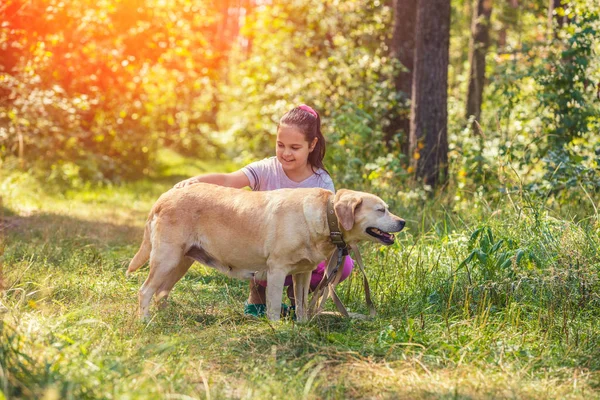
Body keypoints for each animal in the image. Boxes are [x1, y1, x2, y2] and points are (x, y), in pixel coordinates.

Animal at [128, 184, 406, 322]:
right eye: (381, 210)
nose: (402, 222)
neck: (326, 218)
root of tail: (165, 195)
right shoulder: (277, 271)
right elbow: (272, 307)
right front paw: (275, 329)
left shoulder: (303, 273)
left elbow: (302, 305)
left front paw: (301, 326)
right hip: (167, 259)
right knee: (145, 290)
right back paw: (145, 321)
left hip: (180, 262)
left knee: (161, 291)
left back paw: (166, 315)